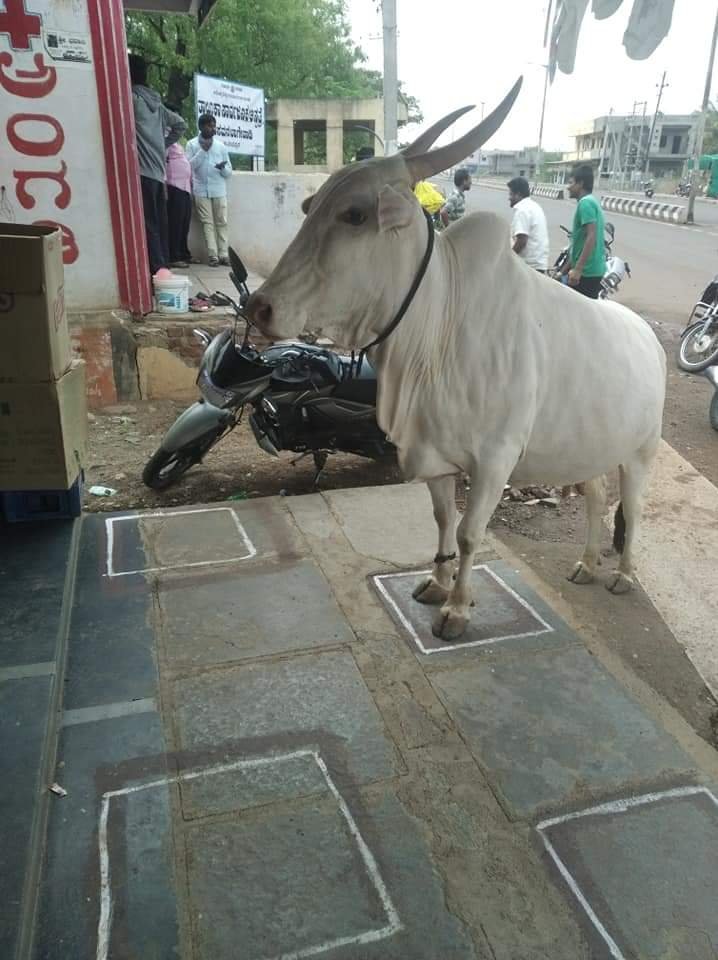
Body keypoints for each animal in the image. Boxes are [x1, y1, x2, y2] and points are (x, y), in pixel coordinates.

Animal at [247, 79, 667, 641]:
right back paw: (585, 563)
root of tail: (649, 337)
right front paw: (437, 583)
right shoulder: (435, 454)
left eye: (355, 214)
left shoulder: (494, 461)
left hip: (642, 450)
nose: (259, 306)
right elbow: (443, 521)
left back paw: (621, 574)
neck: (436, 330)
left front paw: (459, 608)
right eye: (312, 207)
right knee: (598, 498)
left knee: (634, 508)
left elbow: (469, 533)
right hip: (591, 447)